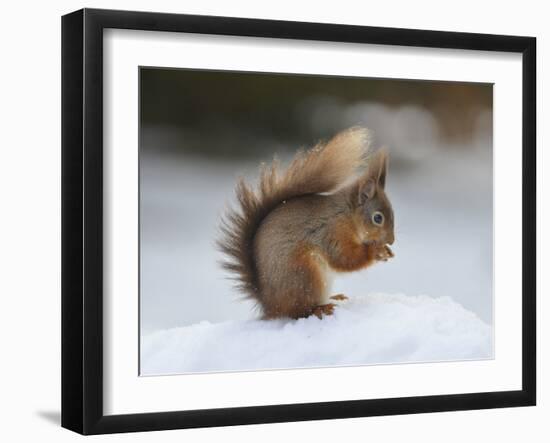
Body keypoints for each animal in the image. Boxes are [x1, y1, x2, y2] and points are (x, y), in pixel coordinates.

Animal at [220, 127, 396, 320]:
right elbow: (343, 258)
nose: (392, 240)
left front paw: (387, 251)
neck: (347, 215)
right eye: (378, 218)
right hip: (305, 274)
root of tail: (270, 306)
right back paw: (320, 308)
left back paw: (334, 297)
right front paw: (376, 251)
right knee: (299, 311)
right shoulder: (332, 231)